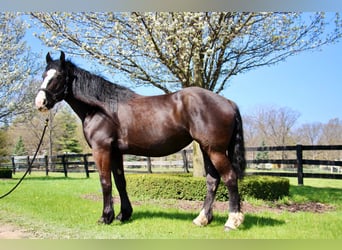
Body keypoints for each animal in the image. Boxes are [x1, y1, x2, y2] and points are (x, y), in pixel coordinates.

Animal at [34, 51, 246, 231]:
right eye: (44, 75)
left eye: (58, 76)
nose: (40, 103)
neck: (102, 109)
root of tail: (228, 102)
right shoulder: (116, 152)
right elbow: (120, 182)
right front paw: (123, 215)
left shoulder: (101, 149)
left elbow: (105, 182)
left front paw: (105, 217)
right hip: (205, 148)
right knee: (212, 180)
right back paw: (202, 219)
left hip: (215, 150)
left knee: (229, 177)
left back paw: (232, 221)